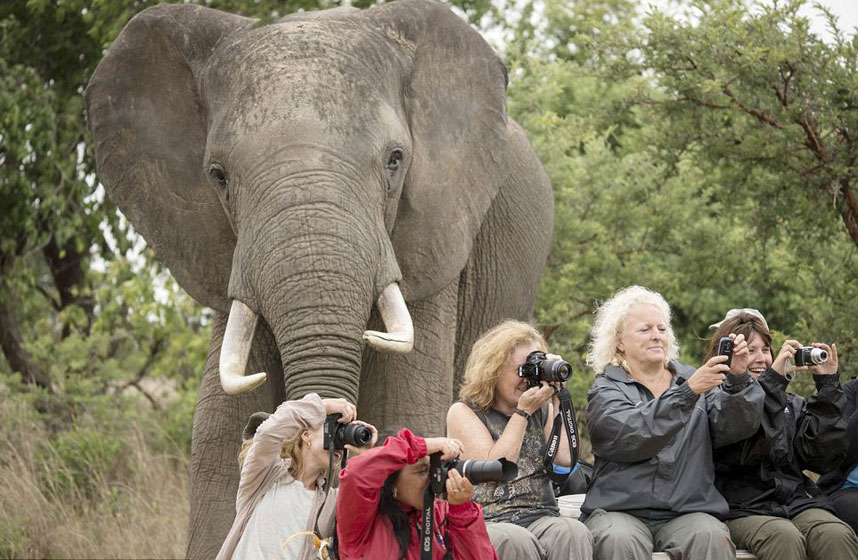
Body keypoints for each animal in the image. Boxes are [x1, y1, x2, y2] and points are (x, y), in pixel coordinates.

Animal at [83, 0, 552, 556]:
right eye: (218, 175)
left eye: (396, 160)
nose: (331, 435)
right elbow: (217, 432)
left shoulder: (435, 235)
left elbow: (405, 402)